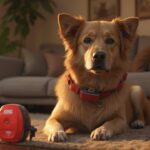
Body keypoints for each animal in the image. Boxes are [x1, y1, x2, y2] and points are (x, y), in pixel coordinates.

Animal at [43, 12, 150, 142]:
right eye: (87, 40)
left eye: (110, 40)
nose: (98, 55)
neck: (93, 89)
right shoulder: (53, 118)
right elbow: (54, 123)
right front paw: (58, 132)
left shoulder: (120, 119)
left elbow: (110, 123)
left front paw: (101, 130)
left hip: (137, 91)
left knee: (141, 115)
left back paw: (138, 122)